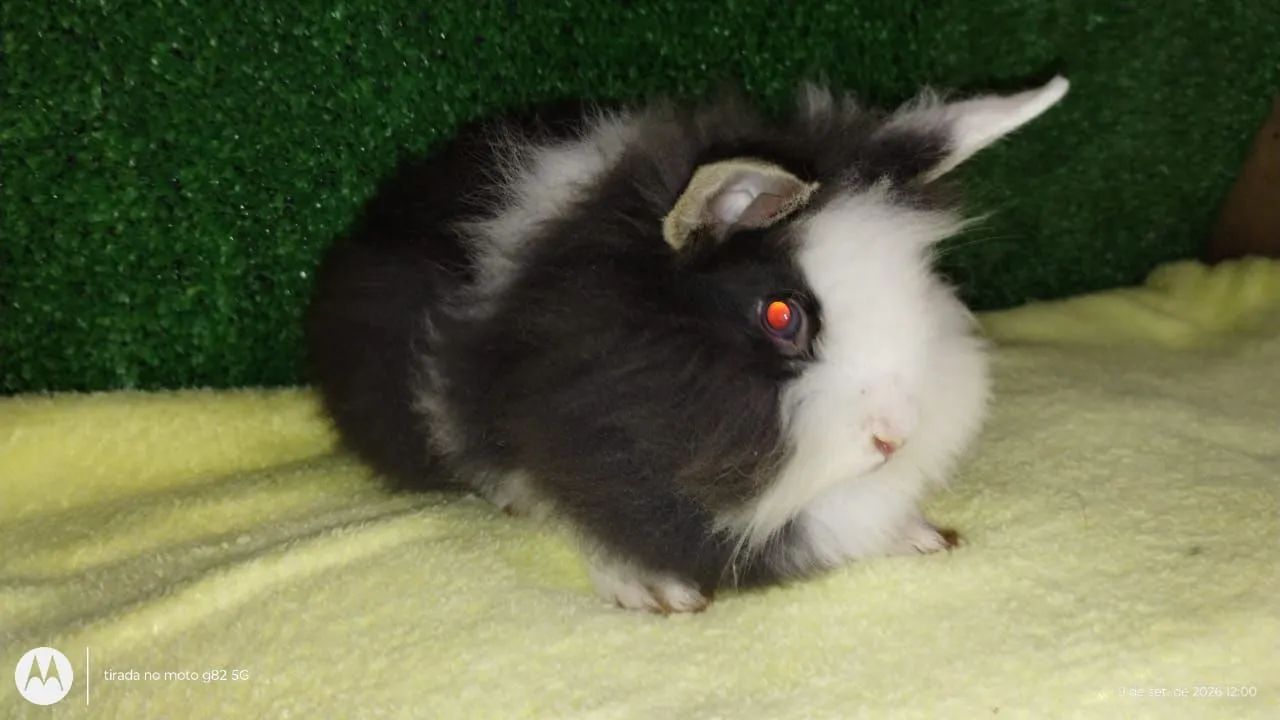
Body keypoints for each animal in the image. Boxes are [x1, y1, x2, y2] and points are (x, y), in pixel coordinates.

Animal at [305, 76, 1069, 612]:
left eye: (922, 286)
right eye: (781, 314)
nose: (895, 437)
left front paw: (919, 533)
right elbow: (572, 507)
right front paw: (652, 589)